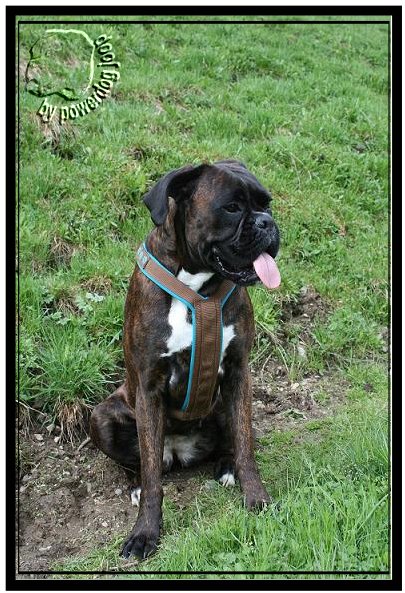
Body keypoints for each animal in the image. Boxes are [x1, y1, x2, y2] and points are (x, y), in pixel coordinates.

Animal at [90, 159, 280, 560]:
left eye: (266, 204)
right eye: (232, 208)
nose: (267, 223)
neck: (197, 287)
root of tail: (178, 451)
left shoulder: (239, 373)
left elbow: (246, 446)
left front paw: (256, 498)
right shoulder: (148, 388)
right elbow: (152, 480)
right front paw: (145, 533)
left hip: (227, 400)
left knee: (232, 439)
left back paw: (226, 467)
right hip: (102, 416)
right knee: (143, 464)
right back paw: (135, 485)